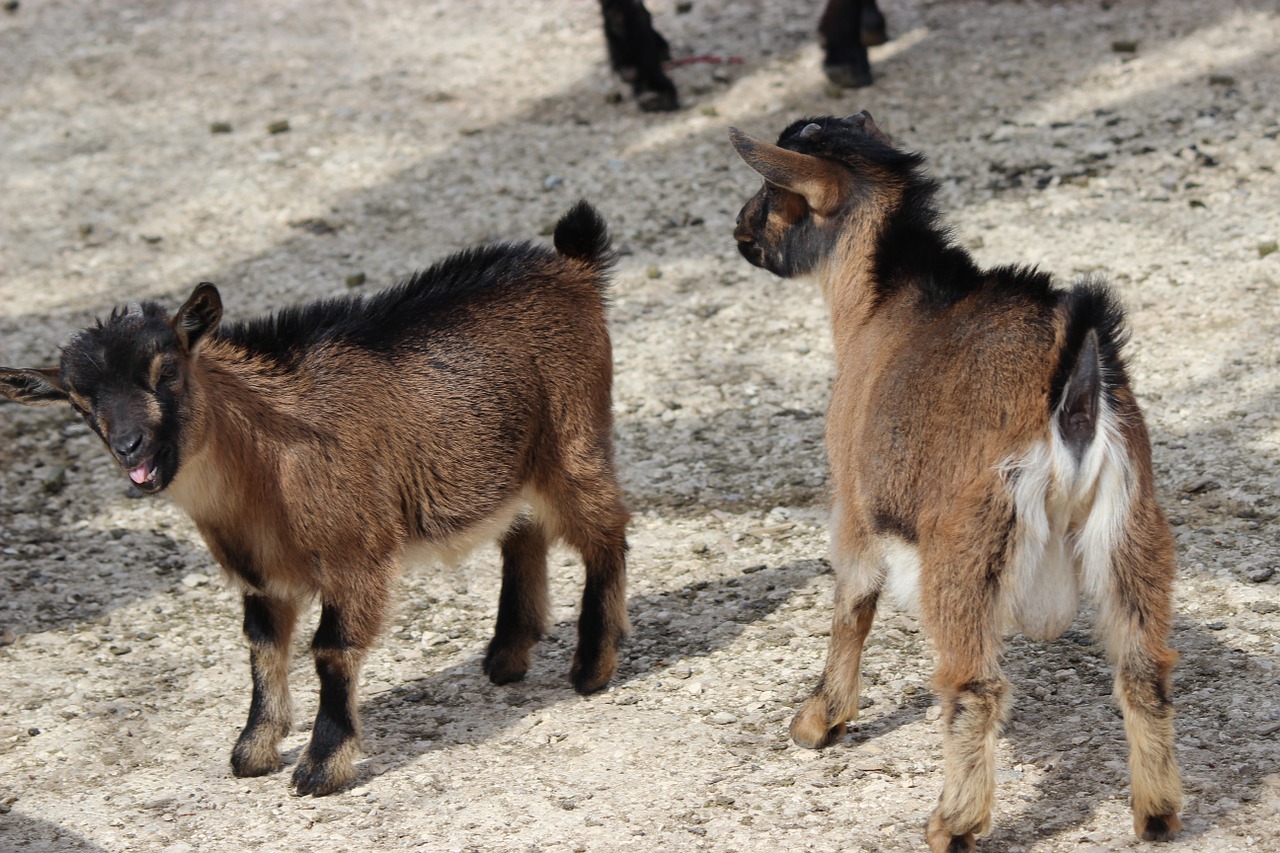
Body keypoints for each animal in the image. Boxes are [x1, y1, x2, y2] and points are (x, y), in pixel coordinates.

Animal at [0, 201, 629, 799]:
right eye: (79, 403)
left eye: (167, 371)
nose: (131, 448)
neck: (264, 464)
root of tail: (573, 266)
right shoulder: (260, 575)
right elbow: (262, 648)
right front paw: (253, 751)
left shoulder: (357, 556)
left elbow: (331, 651)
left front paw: (321, 766)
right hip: (512, 464)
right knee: (524, 532)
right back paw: (506, 657)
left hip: (574, 441)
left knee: (606, 531)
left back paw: (592, 666)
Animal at [732, 116, 1177, 845]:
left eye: (772, 190)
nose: (740, 231)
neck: (882, 300)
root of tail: (1073, 387)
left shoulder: (853, 502)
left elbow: (852, 603)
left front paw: (818, 721)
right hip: (1131, 523)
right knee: (1144, 669)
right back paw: (1158, 813)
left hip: (967, 544)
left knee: (975, 686)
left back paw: (953, 823)